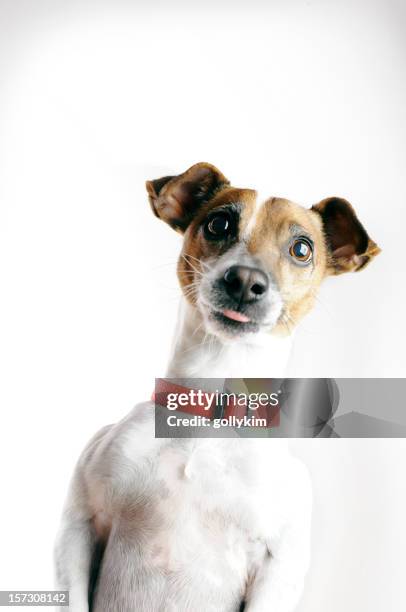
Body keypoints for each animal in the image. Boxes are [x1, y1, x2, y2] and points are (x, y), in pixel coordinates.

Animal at [54, 160, 380, 608]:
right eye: (219, 223)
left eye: (301, 249)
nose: (244, 279)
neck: (211, 413)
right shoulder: (79, 528)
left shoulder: (278, 569)